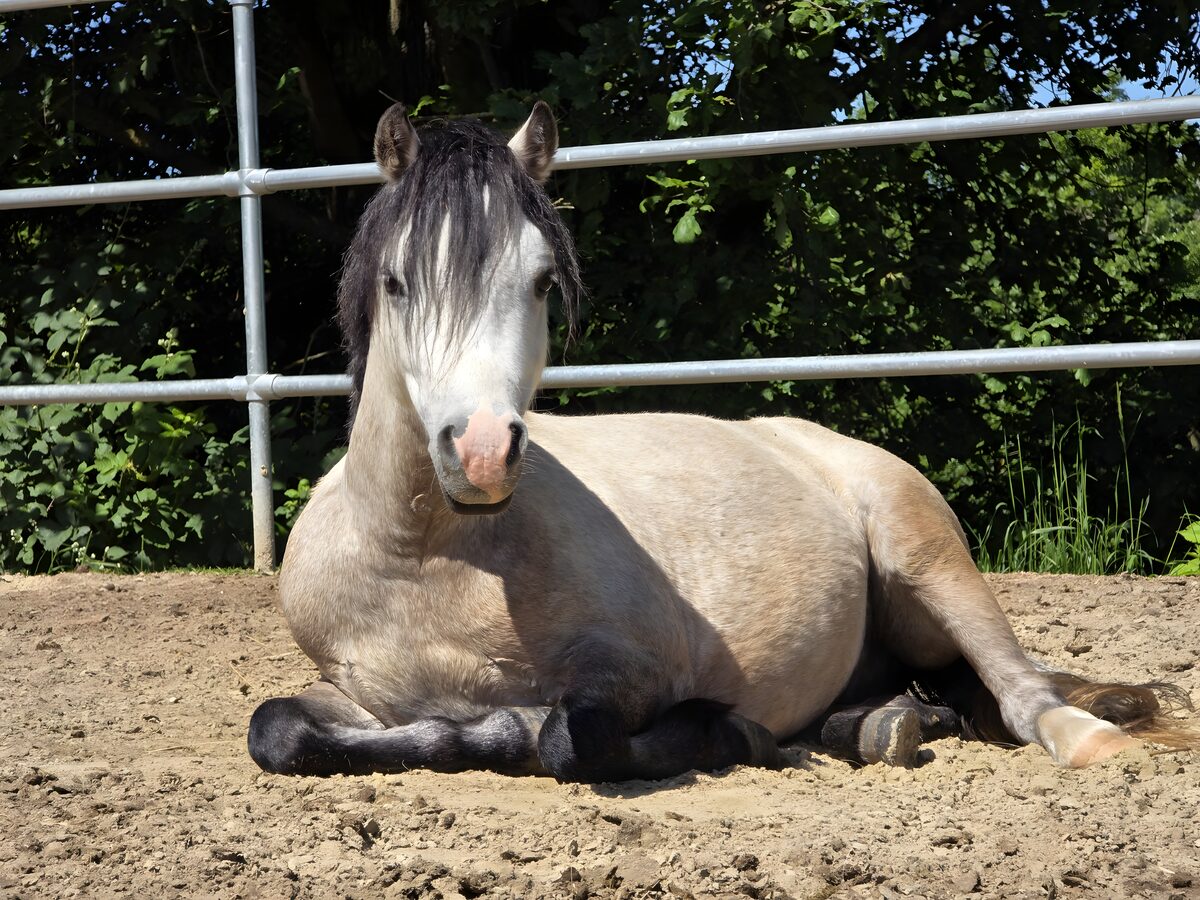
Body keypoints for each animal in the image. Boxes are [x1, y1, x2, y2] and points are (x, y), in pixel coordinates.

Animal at [248, 102, 1194, 781]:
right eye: (397, 282)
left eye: (544, 281)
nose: (481, 453)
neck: (423, 556)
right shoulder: (354, 693)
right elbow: (278, 729)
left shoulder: (635, 674)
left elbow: (566, 739)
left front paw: (723, 733)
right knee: (938, 692)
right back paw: (882, 724)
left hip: (924, 559)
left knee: (1018, 689)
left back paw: (1088, 734)